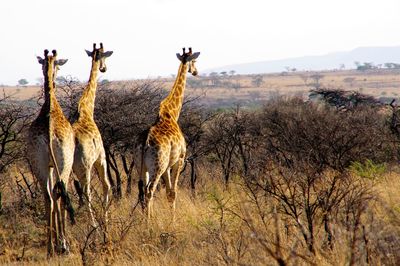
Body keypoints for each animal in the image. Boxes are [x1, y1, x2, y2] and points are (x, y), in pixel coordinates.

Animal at [138, 47, 200, 220]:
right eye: (194, 60)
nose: (195, 71)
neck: (172, 113)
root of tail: (145, 143)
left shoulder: (167, 166)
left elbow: (167, 193)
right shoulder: (180, 159)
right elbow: (173, 193)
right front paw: (173, 221)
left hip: (142, 167)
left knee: (142, 191)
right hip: (157, 167)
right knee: (149, 190)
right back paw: (148, 223)